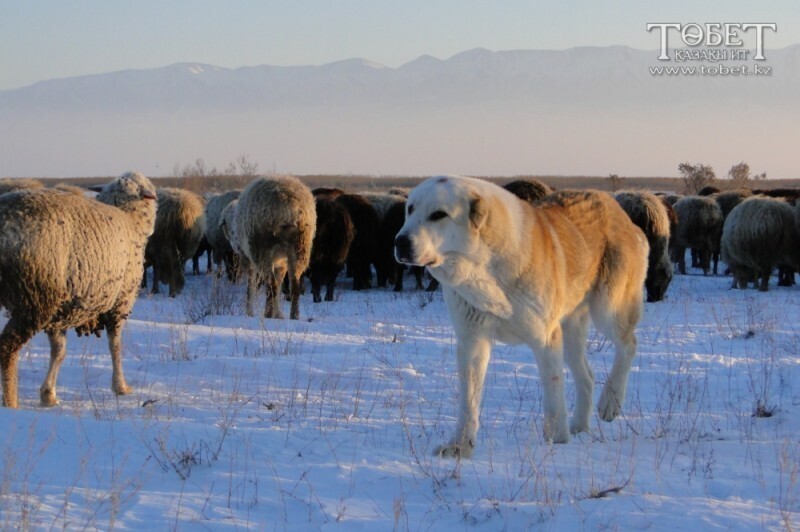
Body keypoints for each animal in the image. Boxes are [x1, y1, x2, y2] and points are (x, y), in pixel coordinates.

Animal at [0, 170, 157, 408]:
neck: (128, 216)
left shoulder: (61, 310)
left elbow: (59, 351)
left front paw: (49, 394)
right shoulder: (120, 302)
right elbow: (115, 346)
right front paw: (120, 386)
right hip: (34, 298)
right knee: (7, 347)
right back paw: (11, 402)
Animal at [234, 176, 316, 320]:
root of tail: (288, 207)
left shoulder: (249, 260)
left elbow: (251, 286)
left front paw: (250, 312)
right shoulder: (281, 263)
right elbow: (278, 285)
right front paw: (278, 315)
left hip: (262, 249)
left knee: (271, 284)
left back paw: (268, 314)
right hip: (300, 247)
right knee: (294, 285)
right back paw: (294, 315)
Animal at [394, 176, 648, 458]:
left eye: (439, 214)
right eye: (410, 210)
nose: (400, 242)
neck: (485, 267)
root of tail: (618, 211)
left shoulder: (546, 339)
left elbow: (553, 392)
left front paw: (557, 441)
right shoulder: (472, 341)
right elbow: (468, 401)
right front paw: (459, 446)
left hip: (608, 308)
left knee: (628, 345)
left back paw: (610, 403)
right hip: (571, 329)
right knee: (587, 376)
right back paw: (580, 427)